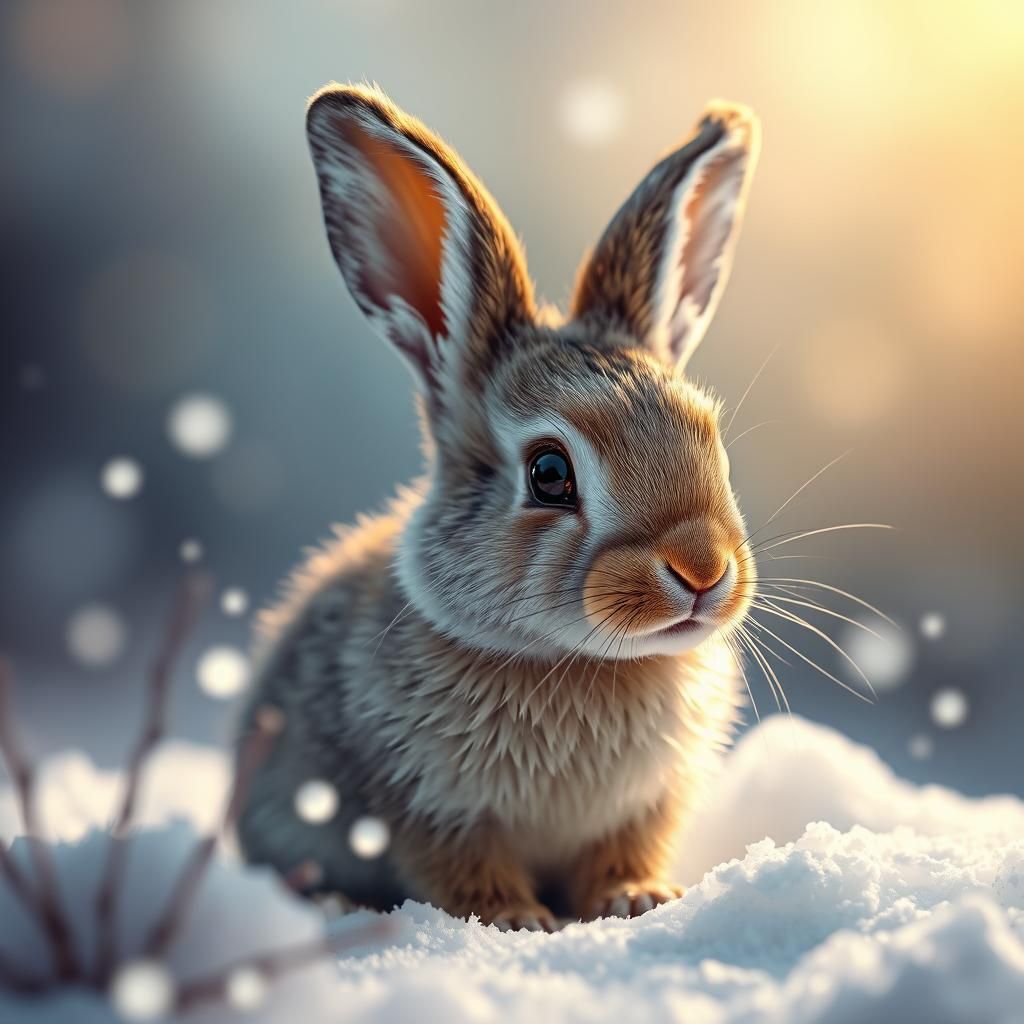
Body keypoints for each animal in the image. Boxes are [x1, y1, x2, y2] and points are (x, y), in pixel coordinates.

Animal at [236, 83, 761, 931]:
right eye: (549, 473)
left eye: (710, 439)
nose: (702, 571)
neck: (579, 660)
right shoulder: (425, 807)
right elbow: (461, 869)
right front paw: (516, 920)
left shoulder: (646, 806)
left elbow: (623, 852)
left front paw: (637, 898)